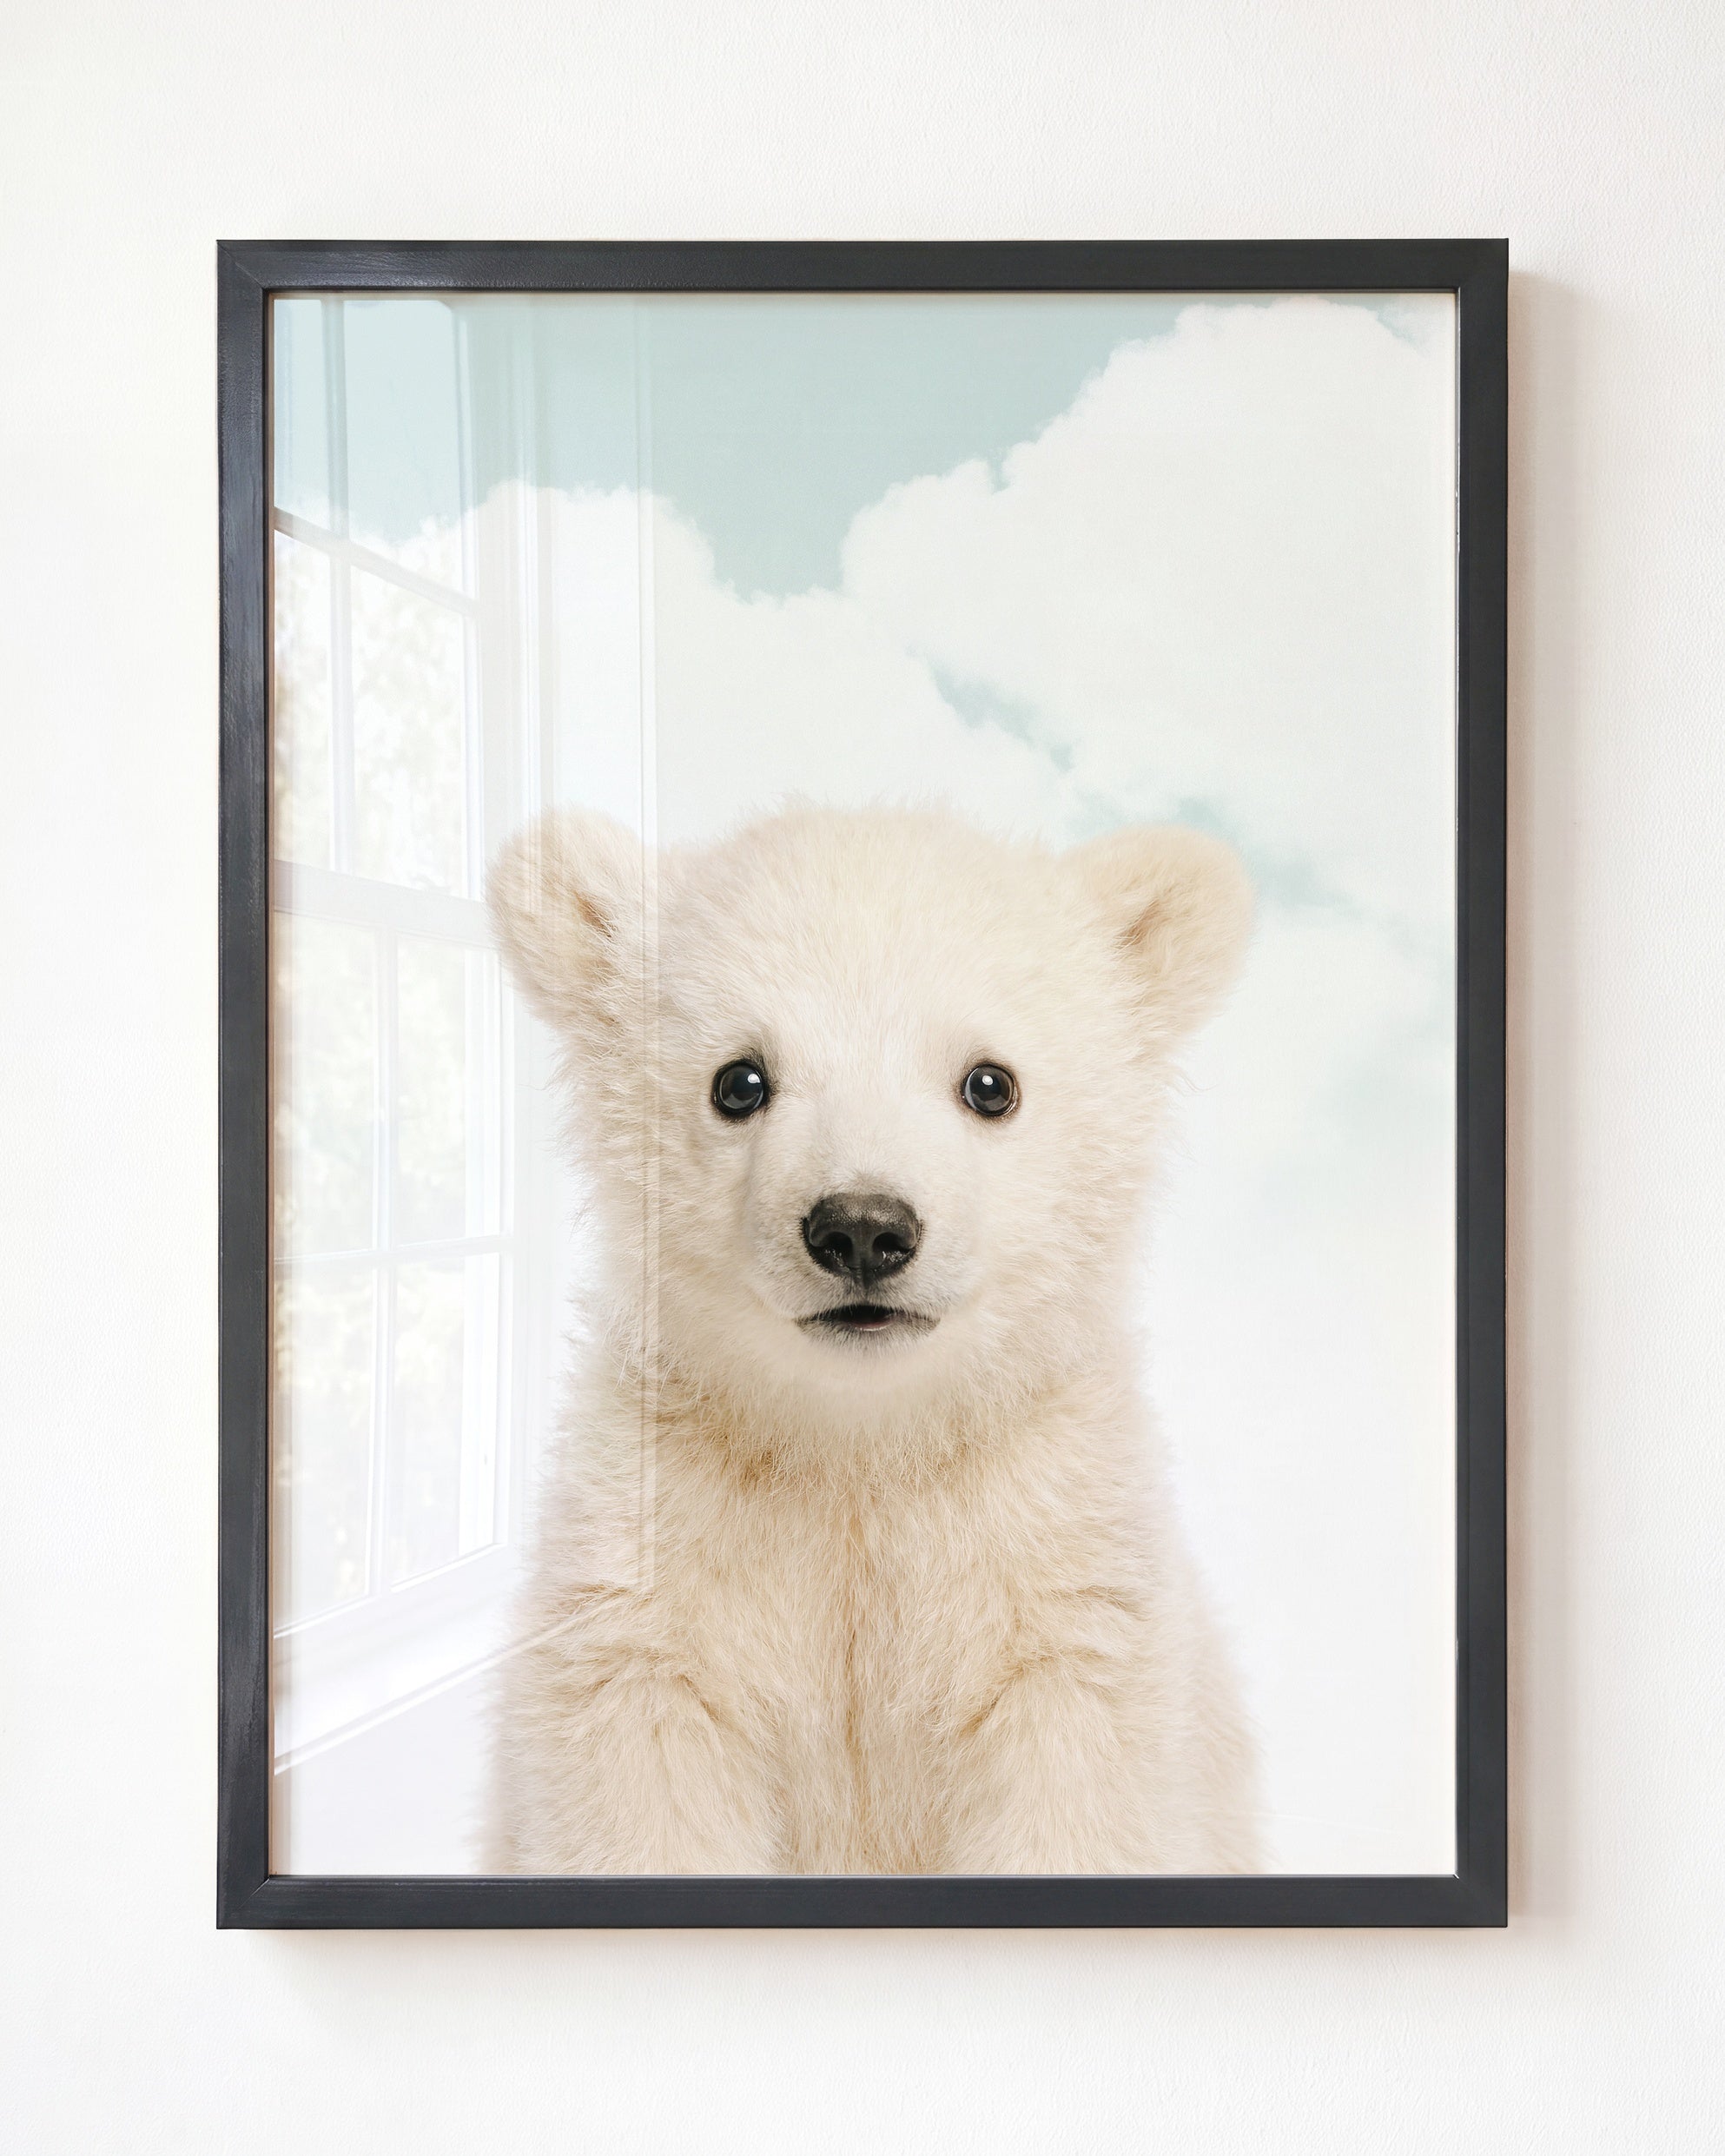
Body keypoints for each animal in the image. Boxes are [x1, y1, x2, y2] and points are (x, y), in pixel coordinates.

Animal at [484, 801, 1259, 1874]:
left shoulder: (1056, 1574)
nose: (861, 1227)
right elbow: (643, 1782)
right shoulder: (655, 1560)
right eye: (739, 1080)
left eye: (990, 1083)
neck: (861, 1446)